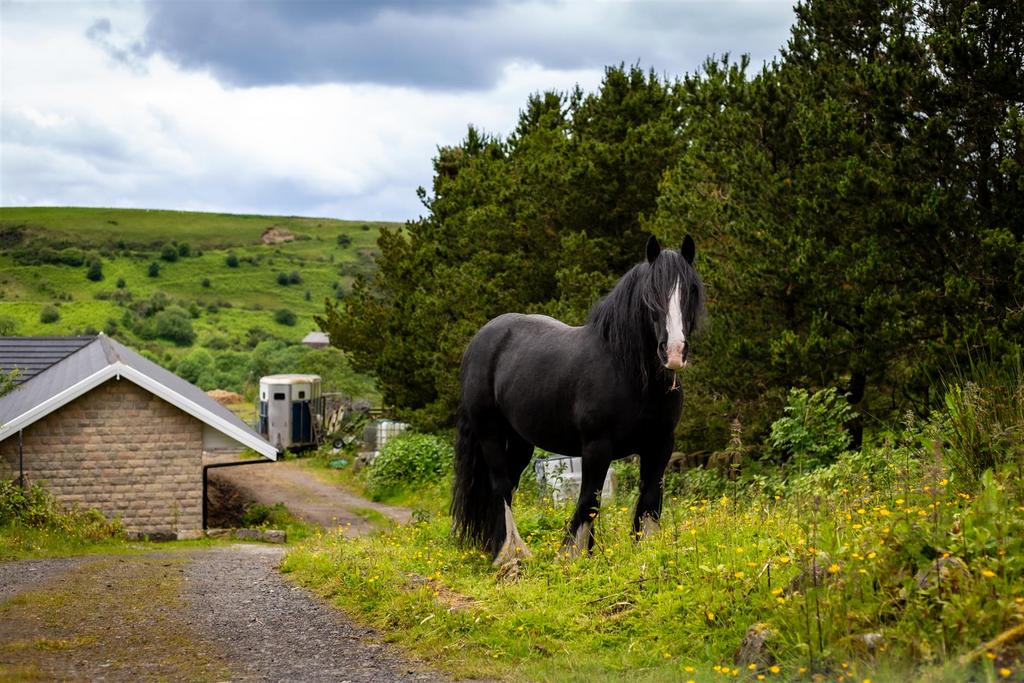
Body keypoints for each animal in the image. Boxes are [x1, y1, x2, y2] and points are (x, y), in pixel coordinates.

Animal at [454, 235, 704, 565]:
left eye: (691, 290)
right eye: (651, 293)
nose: (674, 352)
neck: (627, 371)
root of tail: (480, 340)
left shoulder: (660, 444)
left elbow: (649, 500)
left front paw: (643, 553)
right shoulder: (597, 446)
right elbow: (589, 501)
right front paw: (572, 556)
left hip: (520, 441)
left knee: (508, 484)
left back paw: (499, 548)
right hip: (489, 433)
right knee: (501, 485)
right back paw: (512, 555)